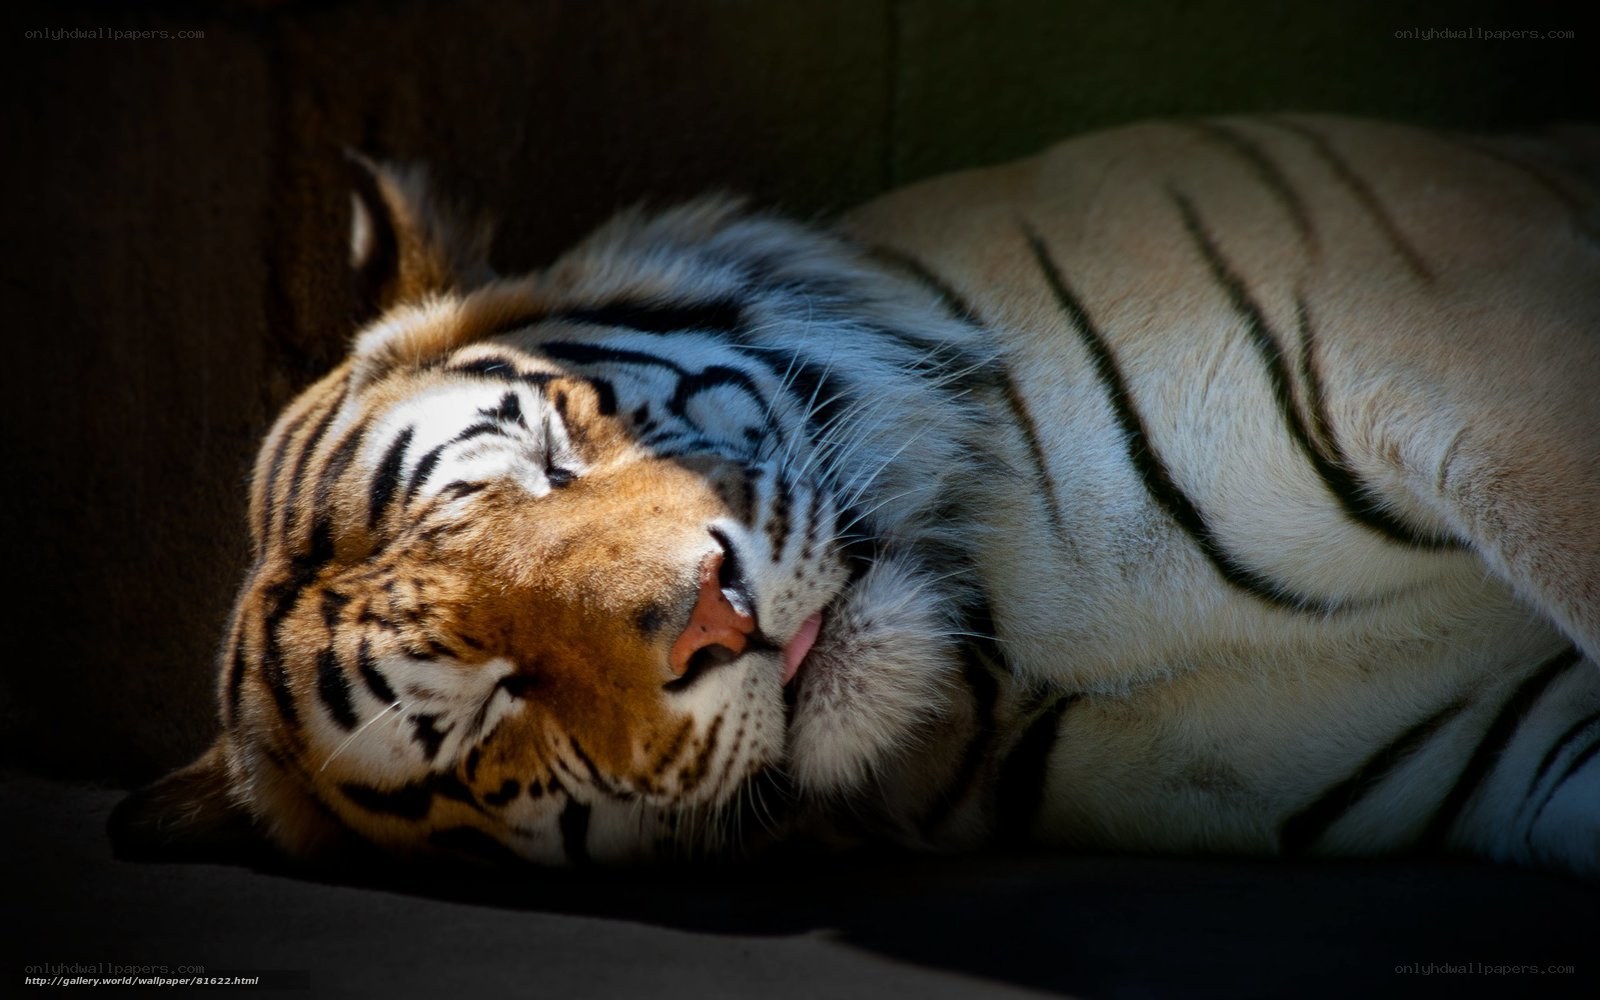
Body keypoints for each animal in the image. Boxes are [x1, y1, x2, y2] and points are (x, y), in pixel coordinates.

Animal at [110, 115, 1600, 878]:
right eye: (487, 704)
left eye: (549, 453)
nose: (715, 617)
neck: (1022, 629)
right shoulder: (1503, 751)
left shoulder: (1482, 353)